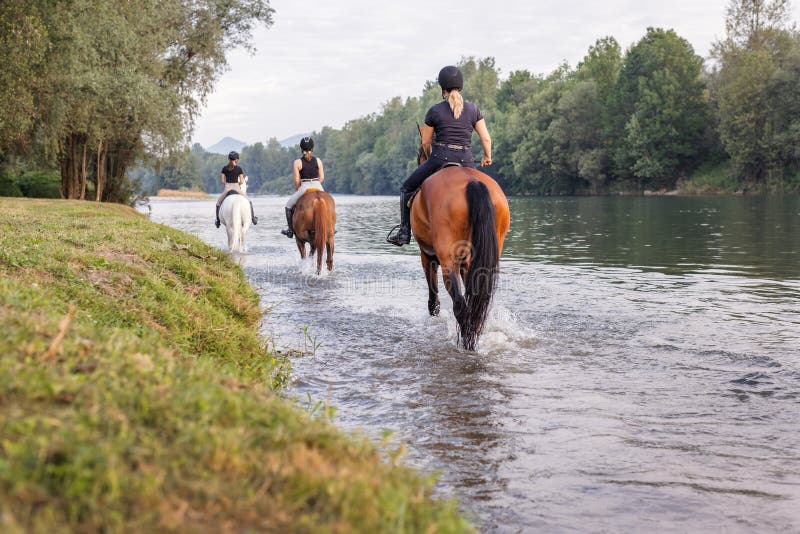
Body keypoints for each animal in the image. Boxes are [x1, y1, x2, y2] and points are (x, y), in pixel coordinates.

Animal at [410, 150, 510, 352]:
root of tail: (473, 181)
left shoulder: (427, 255)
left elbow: (433, 294)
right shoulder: (467, 262)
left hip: (448, 262)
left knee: (460, 305)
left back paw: (467, 343)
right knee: (476, 305)